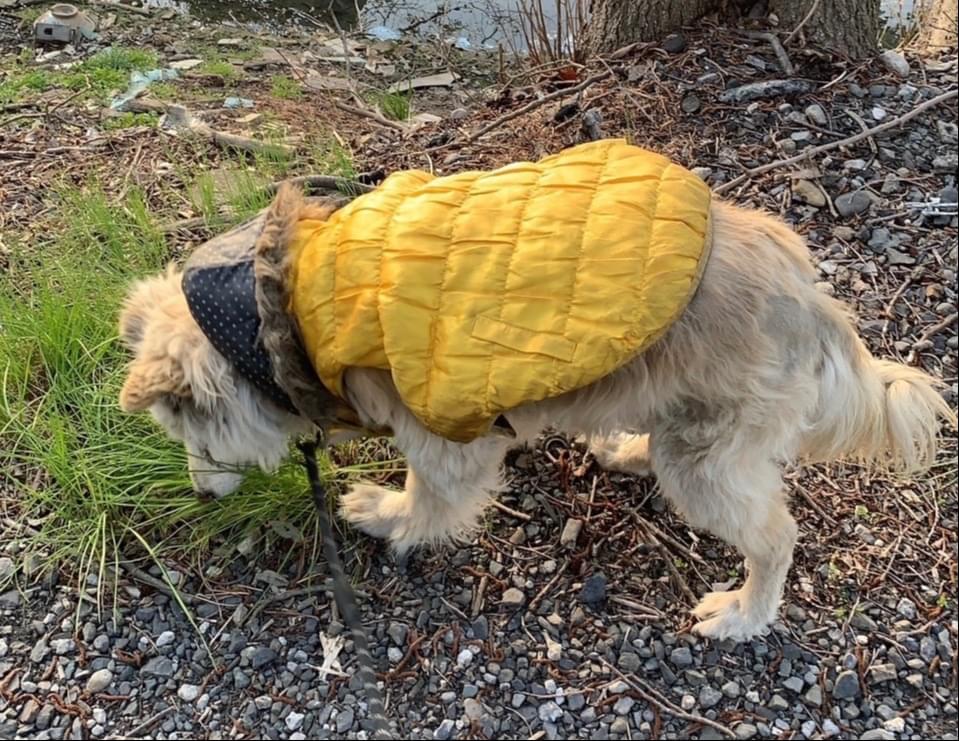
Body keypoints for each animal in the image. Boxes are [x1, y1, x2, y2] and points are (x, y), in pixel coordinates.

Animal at [117, 143, 955, 641]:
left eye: (191, 434)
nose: (199, 493)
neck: (281, 306)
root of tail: (809, 298)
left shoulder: (442, 436)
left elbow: (427, 496)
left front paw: (386, 515)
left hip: (707, 459)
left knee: (776, 536)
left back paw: (744, 612)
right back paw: (624, 449)